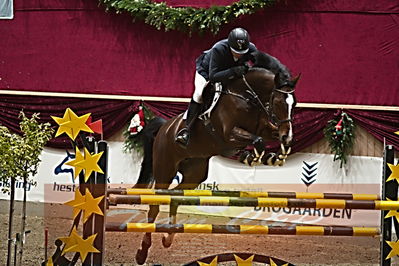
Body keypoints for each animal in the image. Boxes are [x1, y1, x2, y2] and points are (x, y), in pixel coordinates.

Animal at [134, 52, 300, 264]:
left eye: (294, 104)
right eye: (279, 102)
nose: (288, 136)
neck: (248, 96)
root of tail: (165, 128)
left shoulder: (263, 127)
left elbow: (267, 135)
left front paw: (273, 156)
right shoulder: (229, 134)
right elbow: (258, 140)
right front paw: (253, 157)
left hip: (194, 174)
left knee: (175, 197)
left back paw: (167, 237)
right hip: (165, 168)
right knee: (156, 204)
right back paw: (142, 252)